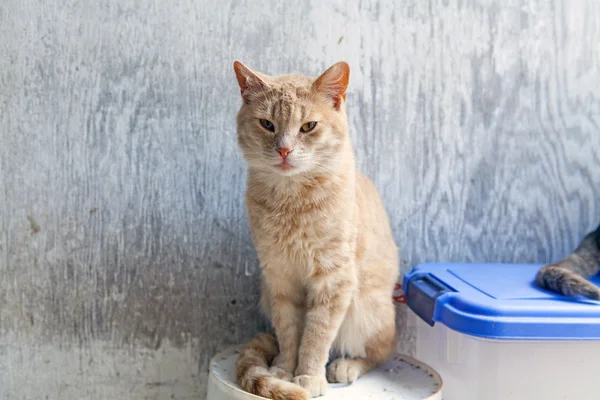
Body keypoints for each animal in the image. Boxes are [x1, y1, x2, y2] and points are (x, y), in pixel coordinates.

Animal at [233, 60, 398, 400]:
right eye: (267, 124)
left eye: (308, 126)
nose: (284, 150)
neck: (291, 201)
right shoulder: (280, 279)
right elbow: (288, 331)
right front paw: (284, 370)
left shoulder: (334, 280)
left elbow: (317, 335)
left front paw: (308, 376)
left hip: (369, 310)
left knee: (381, 351)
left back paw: (346, 366)